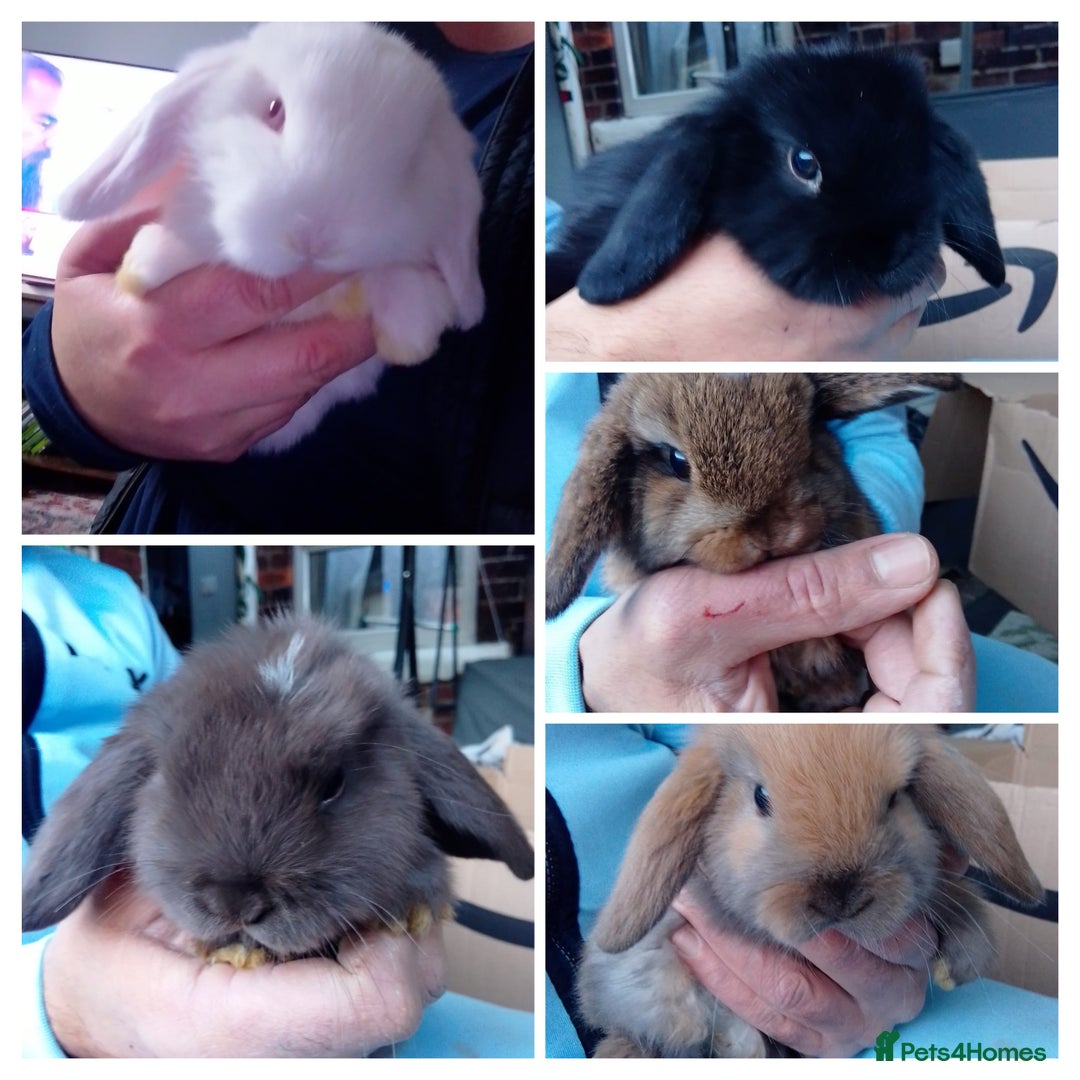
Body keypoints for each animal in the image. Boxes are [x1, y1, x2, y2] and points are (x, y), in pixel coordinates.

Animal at [578, 724, 1043, 1057]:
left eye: (895, 799)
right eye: (761, 797)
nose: (841, 896)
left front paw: (958, 966)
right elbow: (673, 998)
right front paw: (728, 1040)